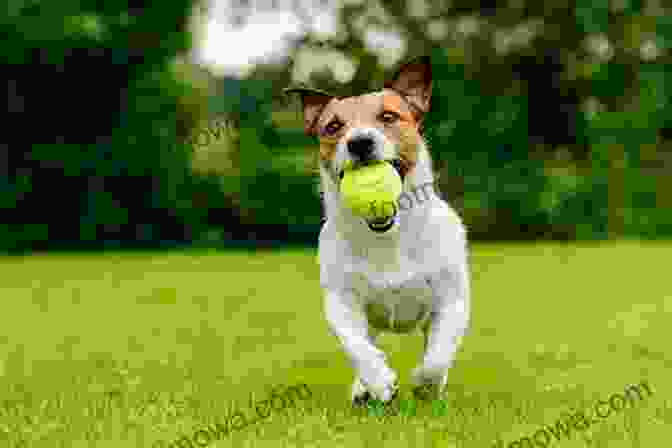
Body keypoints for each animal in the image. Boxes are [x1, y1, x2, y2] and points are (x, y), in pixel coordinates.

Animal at [286, 56, 470, 406]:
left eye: (388, 116)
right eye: (333, 126)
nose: (359, 142)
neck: (387, 236)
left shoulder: (451, 299)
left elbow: (439, 354)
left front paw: (426, 383)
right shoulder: (341, 302)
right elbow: (356, 346)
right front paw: (379, 381)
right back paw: (363, 388)